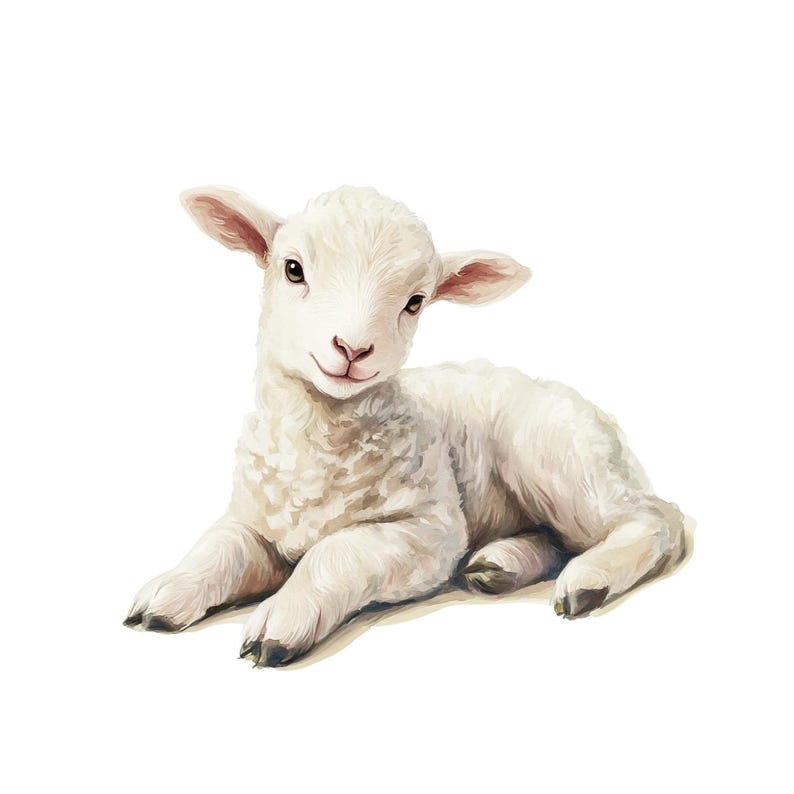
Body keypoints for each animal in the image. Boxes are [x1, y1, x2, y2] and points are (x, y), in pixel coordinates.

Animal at [124, 185, 688, 667]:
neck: (314, 451)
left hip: (558, 461)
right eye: (293, 269)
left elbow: (338, 552)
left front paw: (280, 622)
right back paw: (499, 564)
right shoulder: (254, 518)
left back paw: (589, 580)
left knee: (652, 521)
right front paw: (168, 592)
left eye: (415, 302)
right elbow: (220, 547)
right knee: (561, 534)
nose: (352, 349)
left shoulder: (428, 531)